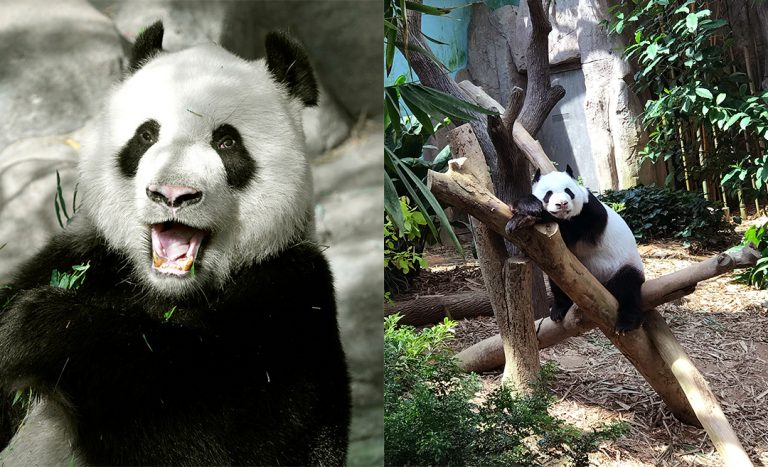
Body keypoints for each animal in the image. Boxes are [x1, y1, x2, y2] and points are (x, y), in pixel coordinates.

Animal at [0, 21, 349, 465]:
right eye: (147, 135)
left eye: (227, 142)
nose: (172, 194)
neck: (168, 291)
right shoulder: (83, 256)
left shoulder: (291, 298)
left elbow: (219, 431)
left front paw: (37, 327)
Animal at [507, 165, 645, 333]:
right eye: (548, 193)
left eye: (568, 191)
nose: (562, 203)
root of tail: (602, 285)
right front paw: (526, 207)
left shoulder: (589, 215)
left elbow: (570, 230)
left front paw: (523, 216)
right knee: (558, 282)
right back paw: (559, 309)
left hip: (623, 264)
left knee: (627, 285)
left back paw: (627, 322)